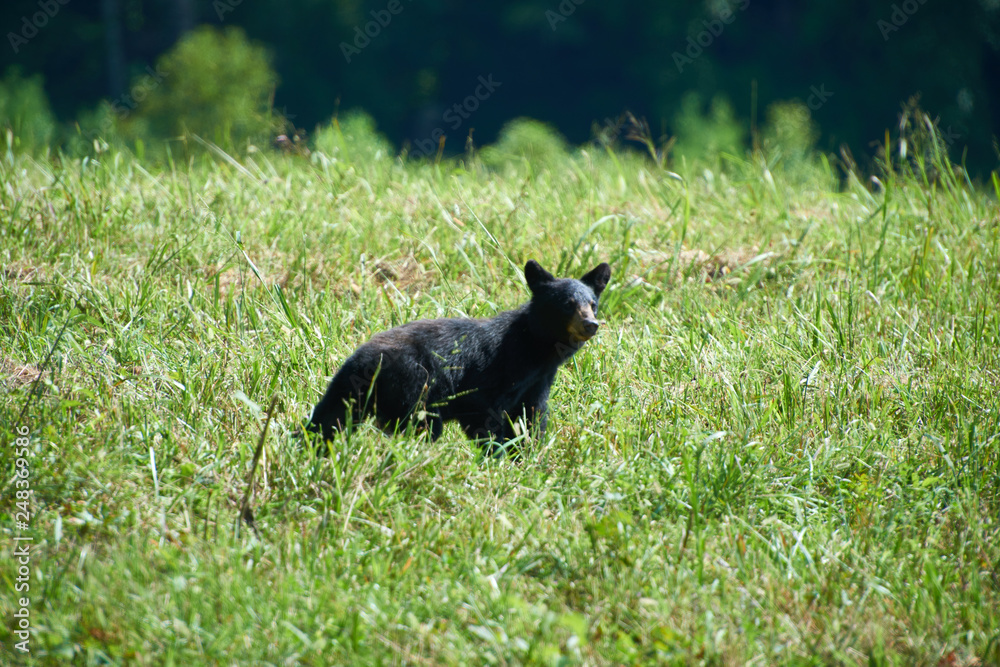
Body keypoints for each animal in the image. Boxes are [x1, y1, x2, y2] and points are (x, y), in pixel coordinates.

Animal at [306, 260, 608, 454]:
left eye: (593, 304)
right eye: (567, 304)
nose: (590, 324)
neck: (535, 349)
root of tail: (358, 361)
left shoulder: (537, 381)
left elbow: (530, 418)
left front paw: (527, 457)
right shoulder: (495, 373)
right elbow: (486, 417)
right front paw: (496, 458)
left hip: (352, 393)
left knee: (328, 419)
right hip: (412, 385)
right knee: (420, 426)